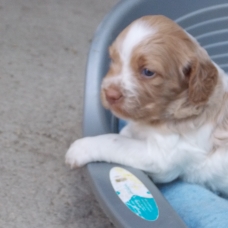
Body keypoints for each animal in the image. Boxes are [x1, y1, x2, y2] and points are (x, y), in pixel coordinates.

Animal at [65, 15, 228, 195]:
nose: (110, 94)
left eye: (148, 72)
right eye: (113, 59)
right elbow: (124, 133)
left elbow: (114, 140)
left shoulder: (161, 156)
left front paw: (80, 148)